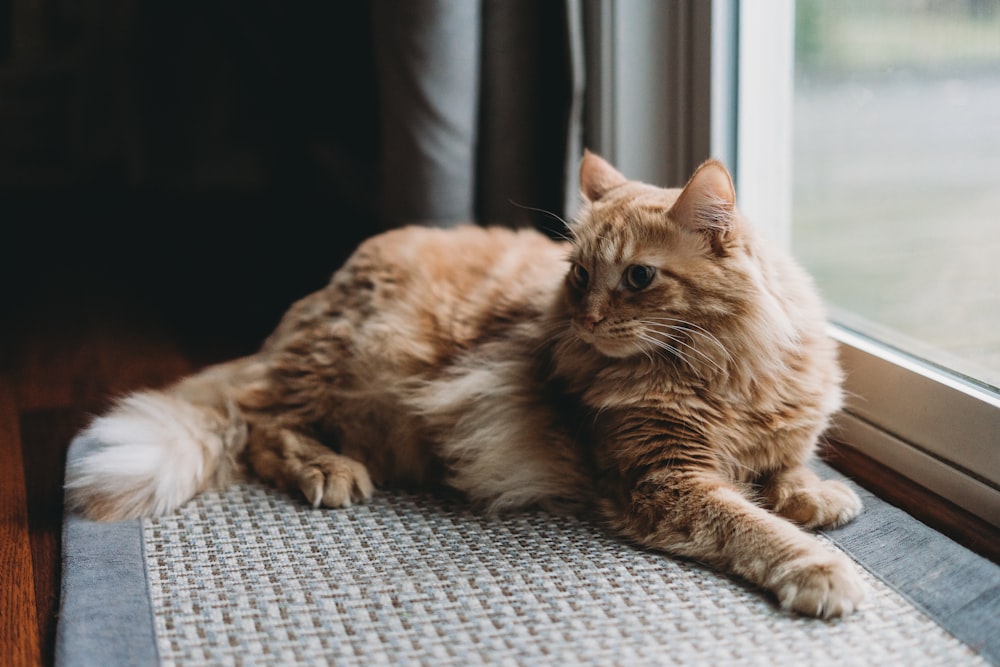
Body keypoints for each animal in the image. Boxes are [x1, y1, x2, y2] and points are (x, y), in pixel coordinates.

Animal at [68, 153, 868, 620]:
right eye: (581, 274)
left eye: (639, 277)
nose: (588, 317)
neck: (725, 371)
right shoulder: (663, 480)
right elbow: (753, 526)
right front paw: (821, 570)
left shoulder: (770, 427)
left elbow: (789, 465)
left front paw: (816, 494)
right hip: (339, 368)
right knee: (260, 427)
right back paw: (330, 470)